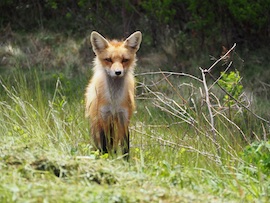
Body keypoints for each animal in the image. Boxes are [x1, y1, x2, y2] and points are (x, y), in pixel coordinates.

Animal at [85, 30, 142, 159]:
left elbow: (125, 146)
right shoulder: (103, 117)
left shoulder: (124, 118)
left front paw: (125, 162)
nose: (118, 72)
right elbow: (104, 145)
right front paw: (105, 158)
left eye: (124, 60)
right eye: (109, 59)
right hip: (97, 123)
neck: (114, 101)